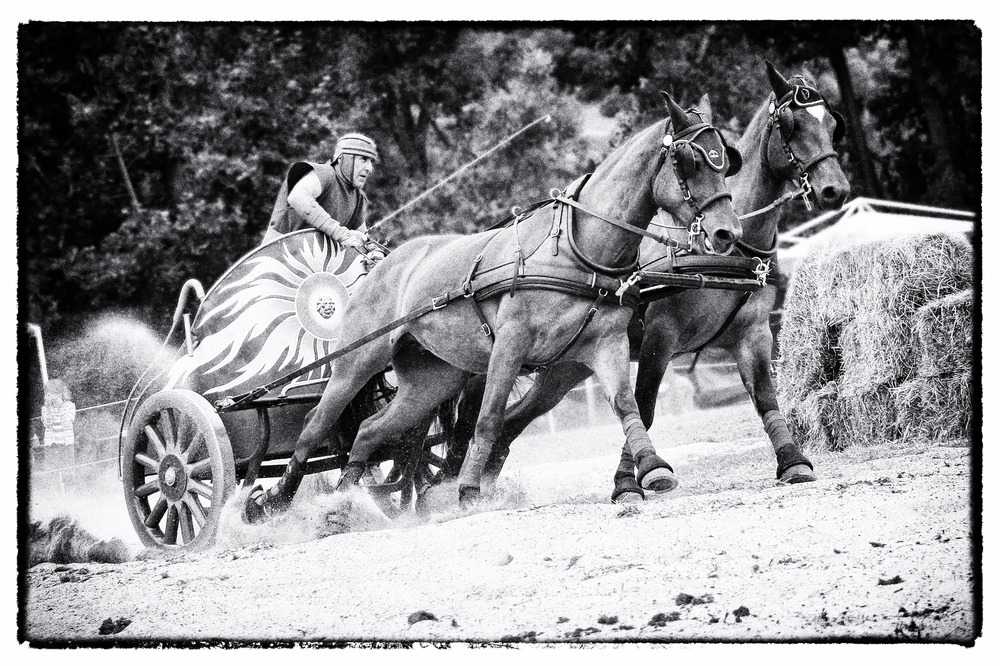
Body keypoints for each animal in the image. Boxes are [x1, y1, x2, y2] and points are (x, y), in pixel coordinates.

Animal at [242, 92, 744, 520]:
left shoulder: (607, 345)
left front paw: (651, 468)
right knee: (315, 425)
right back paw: (273, 503)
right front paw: (468, 490)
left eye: (725, 162)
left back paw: (348, 502)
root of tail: (381, 264)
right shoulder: (510, 345)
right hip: (358, 361)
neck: (577, 247)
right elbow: (488, 418)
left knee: (370, 429)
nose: (727, 233)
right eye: (690, 162)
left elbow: (626, 405)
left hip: (433, 377)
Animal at [454, 61, 852, 498]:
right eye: (792, 125)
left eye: (832, 124)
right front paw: (630, 480)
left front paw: (793, 461)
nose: (836, 189)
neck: (727, 252)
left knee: (513, 421)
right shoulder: (661, 333)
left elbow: (766, 398)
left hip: (565, 367)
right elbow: (643, 404)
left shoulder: (753, 333)